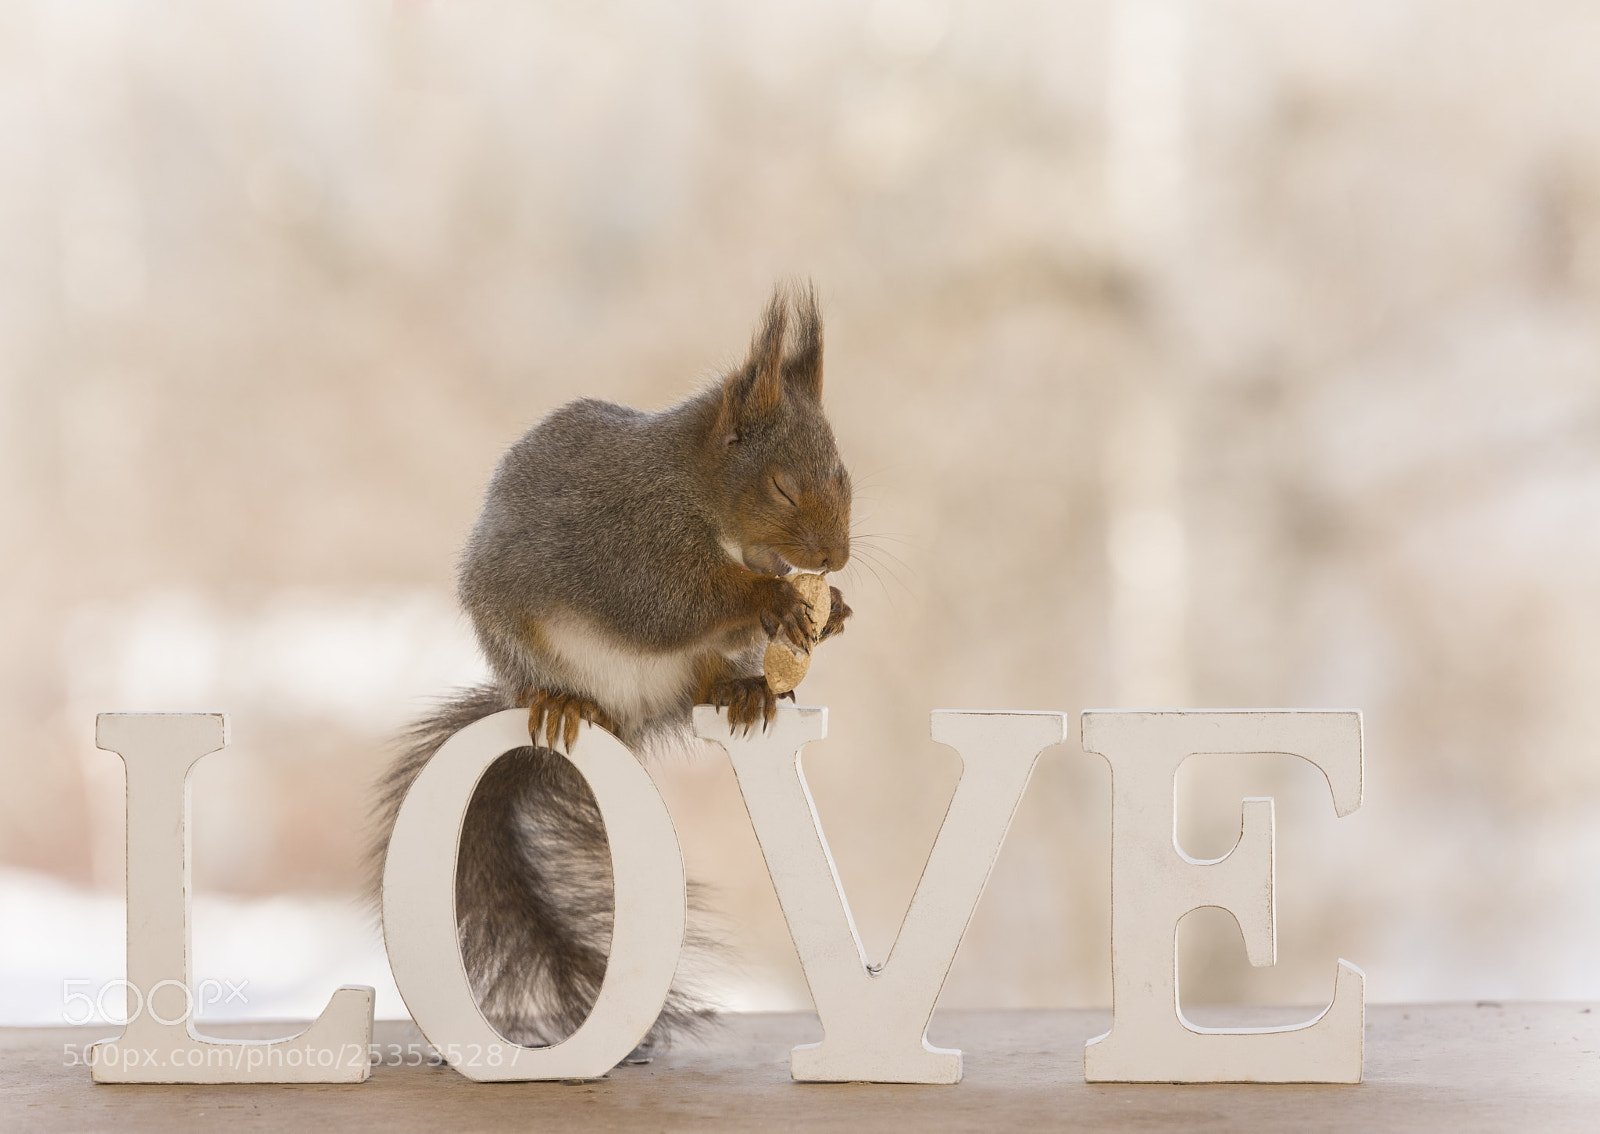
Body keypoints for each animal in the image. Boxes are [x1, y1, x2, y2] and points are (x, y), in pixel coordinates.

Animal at [367, 285, 852, 1057]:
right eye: (781, 486)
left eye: (844, 474)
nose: (836, 557)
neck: (696, 492)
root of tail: (632, 711)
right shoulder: (628, 546)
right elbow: (670, 603)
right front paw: (774, 598)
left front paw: (832, 611)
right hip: (520, 638)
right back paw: (562, 702)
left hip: (686, 677)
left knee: (704, 677)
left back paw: (741, 687)